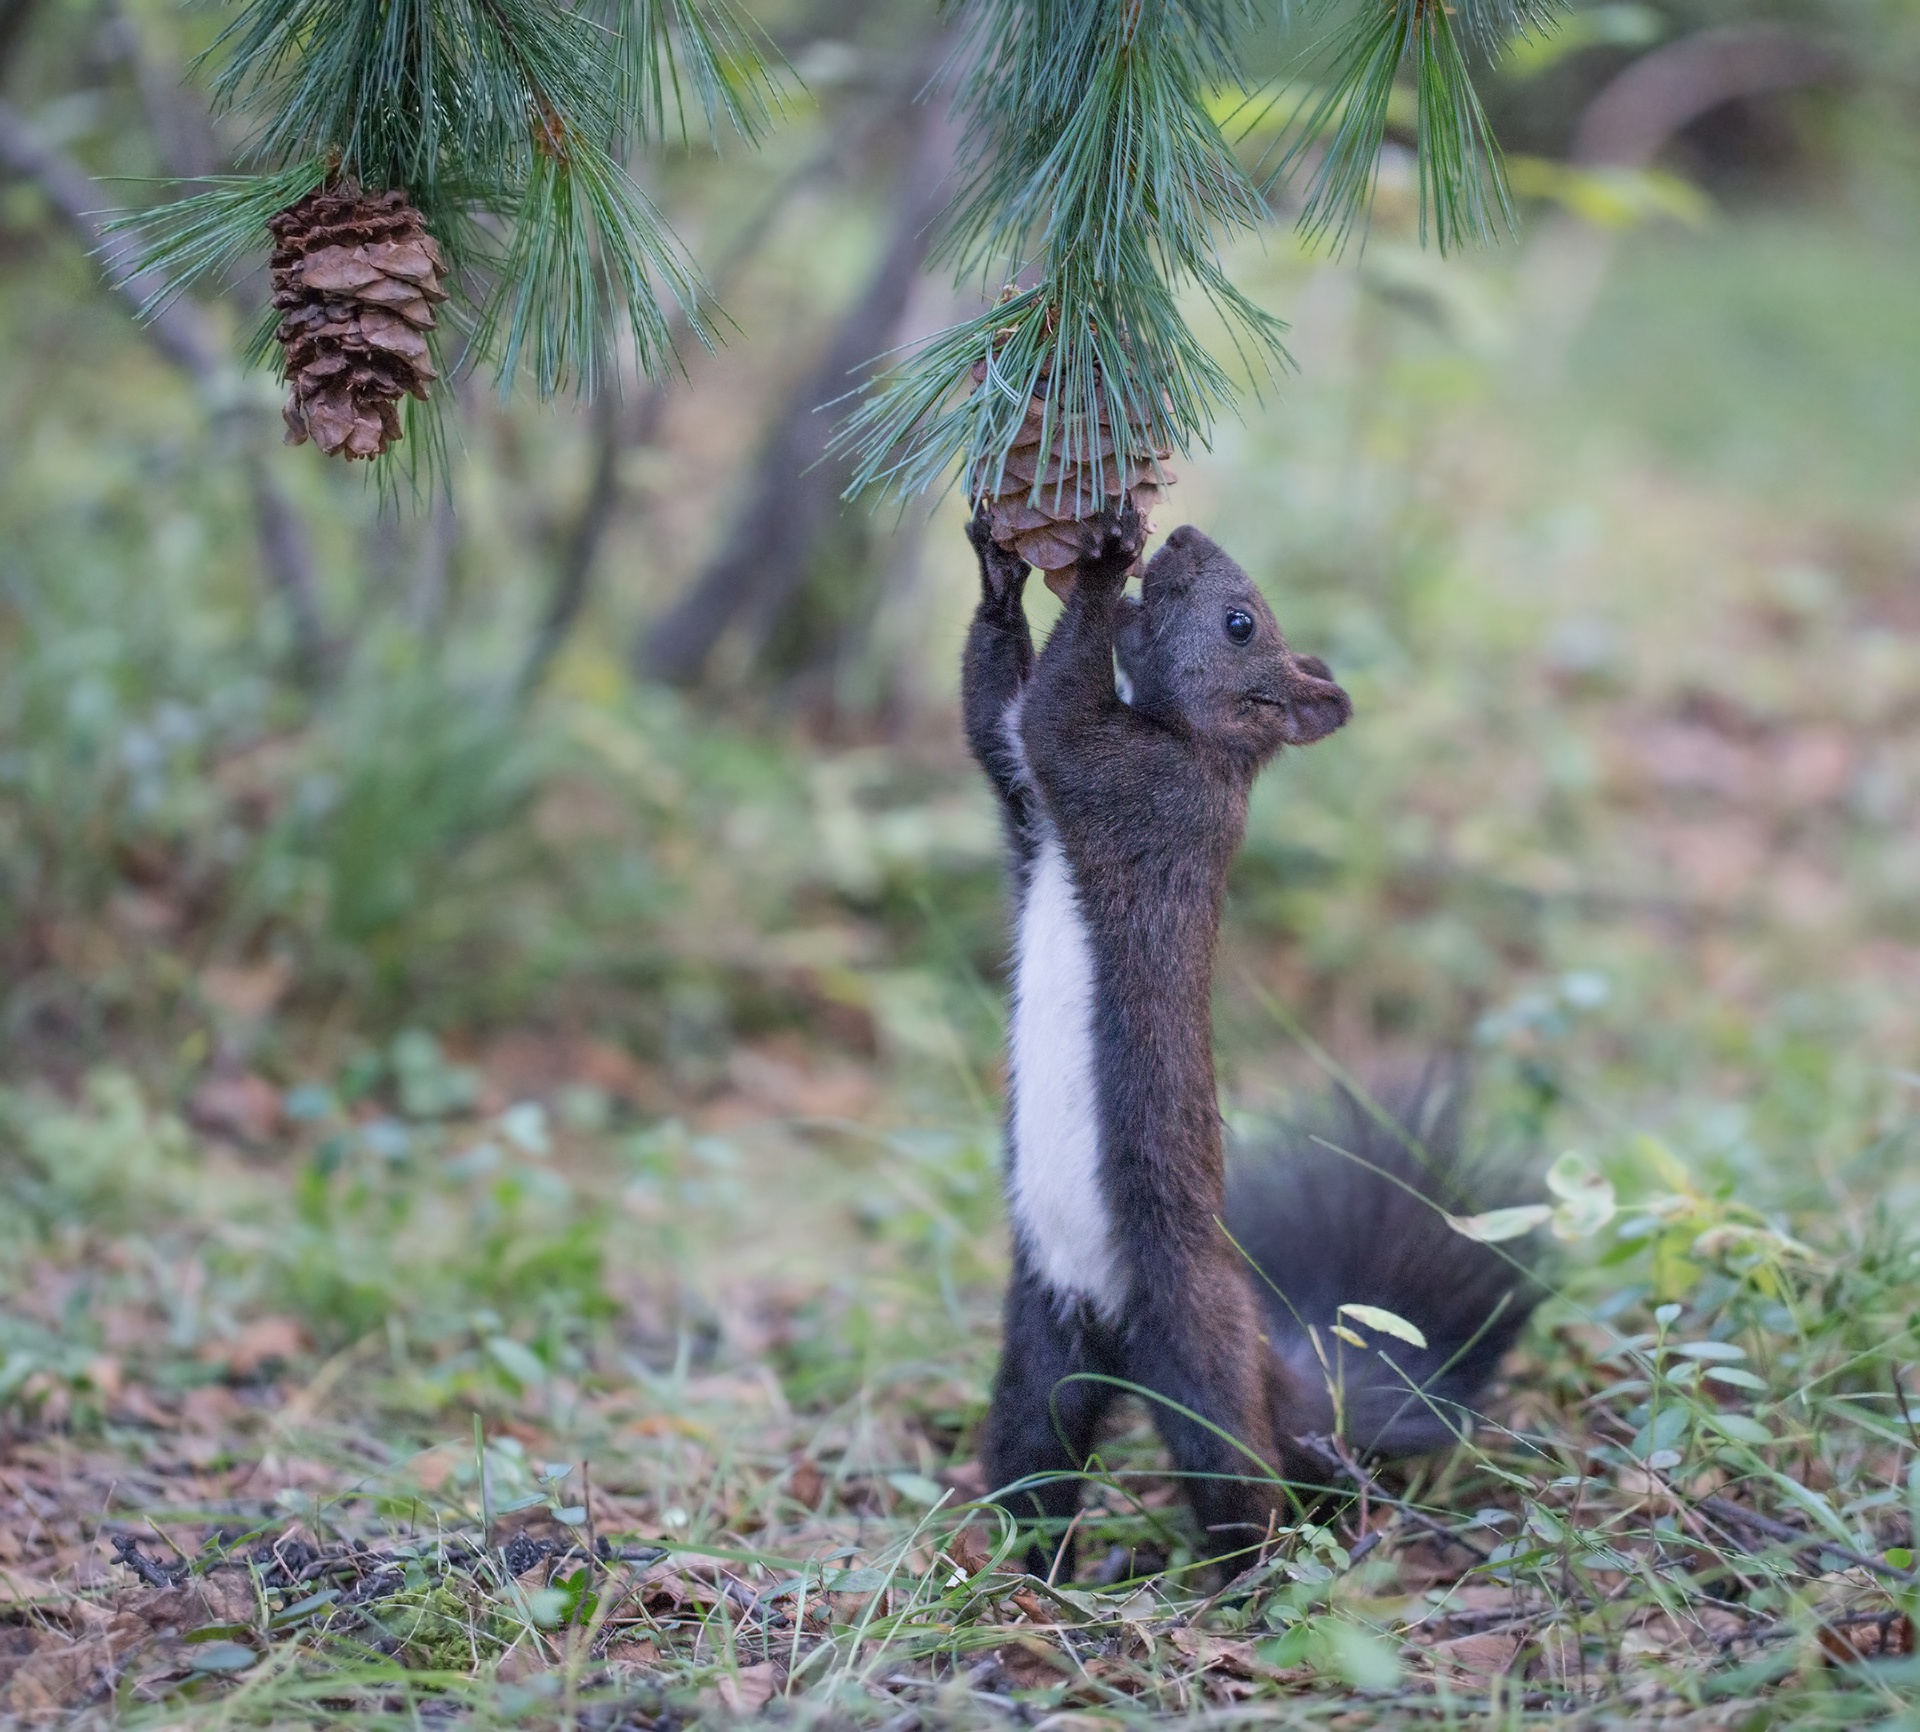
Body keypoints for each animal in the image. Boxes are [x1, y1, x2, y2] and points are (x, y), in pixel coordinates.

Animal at [967, 499, 1536, 1574]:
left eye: (1240, 624)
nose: (1183, 537)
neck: (1197, 745)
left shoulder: (1127, 784)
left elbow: (1053, 708)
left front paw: (1101, 565)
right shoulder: (1030, 804)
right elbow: (989, 714)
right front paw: (996, 561)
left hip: (1197, 1353)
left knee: (1244, 1485)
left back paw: (1230, 1582)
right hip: (1041, 1349)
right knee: (1036, 1457)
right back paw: (1023, 1575)